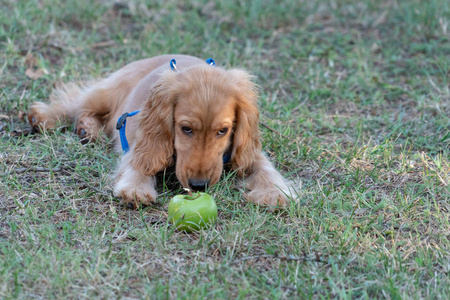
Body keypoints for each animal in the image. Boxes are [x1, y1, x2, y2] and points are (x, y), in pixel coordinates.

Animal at [26, 54, 298, 209]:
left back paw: (88, 129)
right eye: (185, 129)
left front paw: (274, 191)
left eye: (223, 130)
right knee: (75, 101)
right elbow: (139, 163)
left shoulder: (243, 151)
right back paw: (44, 116)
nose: (199, 186)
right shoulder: (141, 143)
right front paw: (136, 188)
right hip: (108, 91)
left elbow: (264, 167)